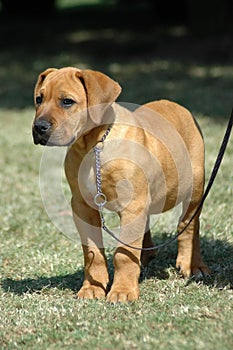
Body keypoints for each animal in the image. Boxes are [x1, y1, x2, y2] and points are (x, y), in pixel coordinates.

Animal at [31, 67, 209, 302]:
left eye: (67, 102)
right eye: (39, 99)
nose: (38, 127)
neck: (93, 146)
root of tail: (177, 105)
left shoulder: (132, 204)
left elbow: (123, 254)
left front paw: (122, 291)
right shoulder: (82, 206)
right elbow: (93, 253)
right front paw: (92, 288)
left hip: (195, 186)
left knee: (189, 224)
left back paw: (193, 265)